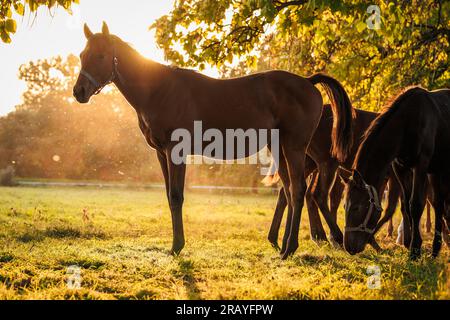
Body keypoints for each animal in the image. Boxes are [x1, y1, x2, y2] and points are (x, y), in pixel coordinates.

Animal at [72, 22, 354, 258]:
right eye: (82, 55)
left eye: (101, 56)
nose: (79, 92)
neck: (159, 90)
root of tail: (308, 81)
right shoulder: (161, 153)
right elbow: (169, 197)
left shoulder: (176, 152)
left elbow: (176, 196)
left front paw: (177, 246)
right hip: (280, 148)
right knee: (288, 190)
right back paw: (285, 245)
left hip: (294, 148)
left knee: (297, 190)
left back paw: (291, 248)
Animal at [344, 86, 450, 258]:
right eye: (344, 205)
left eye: (356, 207)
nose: (349, 247)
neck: (408, 122)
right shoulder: (400, 168)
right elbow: (406, 205)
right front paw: (411, 243)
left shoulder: (420, 166)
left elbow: (416, 204)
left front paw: (414, 249)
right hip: (436, 171)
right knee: (439, 204)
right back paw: (435, 250)